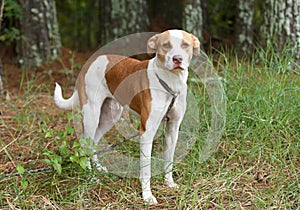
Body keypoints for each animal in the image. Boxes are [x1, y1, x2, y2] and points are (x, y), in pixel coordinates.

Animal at [54, 29, 199, 203]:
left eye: (185, 44)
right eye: (166, 45)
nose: (178, 58)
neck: (170, 82)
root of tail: (90, 62)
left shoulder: (173, 128)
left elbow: (169, 160)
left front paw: (169, 183)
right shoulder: (147, 132)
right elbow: (146, 168)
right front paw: (147, 195)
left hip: (110, 116)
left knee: (94, 142)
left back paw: (98, 168)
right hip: (91, 115)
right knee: (85, 144)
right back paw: (90, 176)